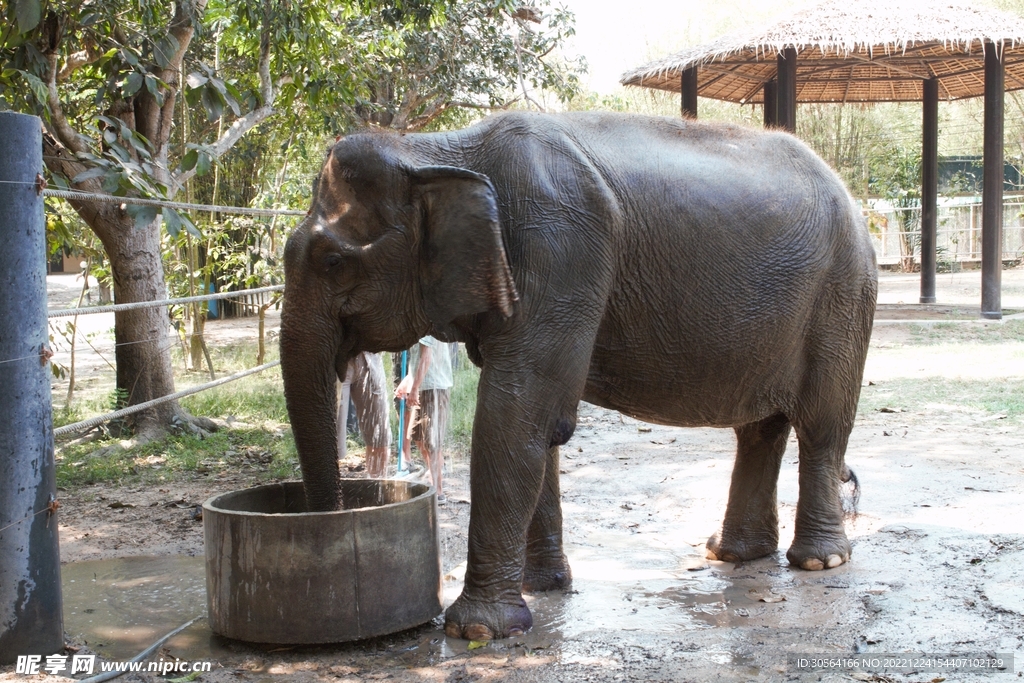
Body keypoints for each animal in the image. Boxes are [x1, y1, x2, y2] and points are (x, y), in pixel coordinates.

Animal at [279, 111, 878, 641]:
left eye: (333, 262)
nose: (329, 520)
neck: (439, 148)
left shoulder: (561, 251)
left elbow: (516, 415)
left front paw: (477, 630)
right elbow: (537, 425)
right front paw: (541, 589)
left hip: (843, 296)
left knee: (821, 427)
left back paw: (819, 562)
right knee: (760, 430)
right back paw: (732, 554)